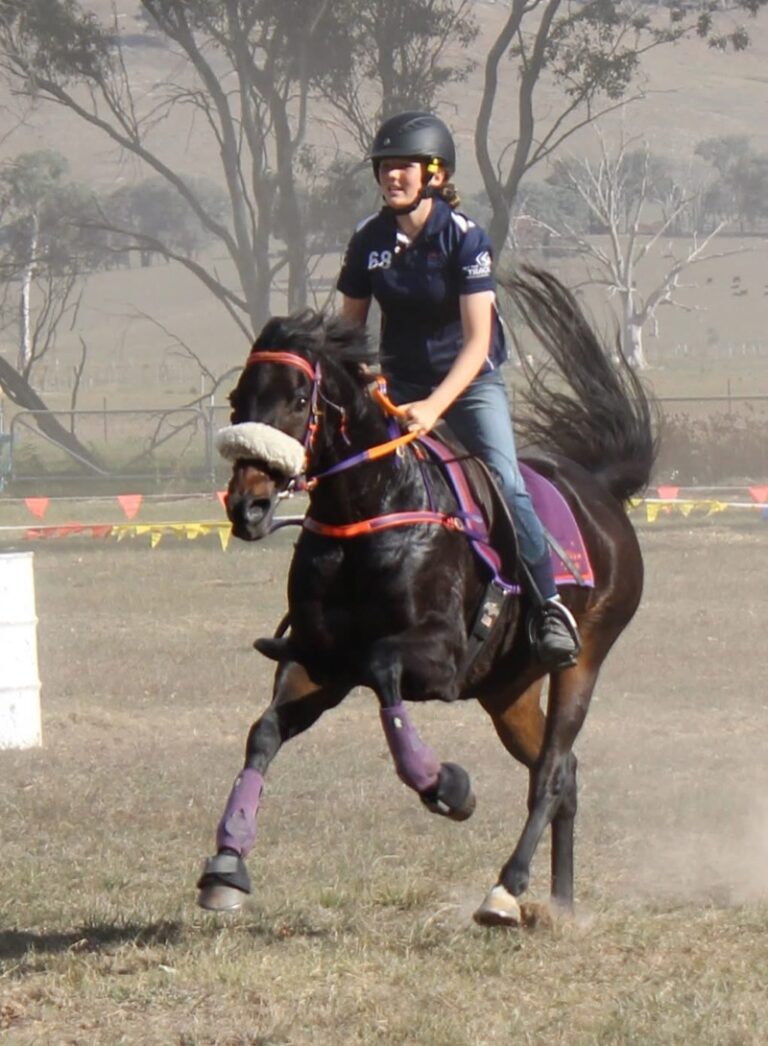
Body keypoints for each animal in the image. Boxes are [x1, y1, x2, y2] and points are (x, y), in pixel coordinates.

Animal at [197, 268, 658, 926]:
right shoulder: (317, 660)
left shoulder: (437, 657)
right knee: (565, 773)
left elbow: (382, 664)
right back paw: (561, 902)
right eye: (238, 401)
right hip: (507, 690)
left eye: (298, 398)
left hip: (584, 659)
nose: (249, 506)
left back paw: (505, 890)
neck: (372, 510)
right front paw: (226, 865)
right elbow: (264, 732)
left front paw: (444, 783)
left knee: (551, 770)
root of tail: (600, 489)